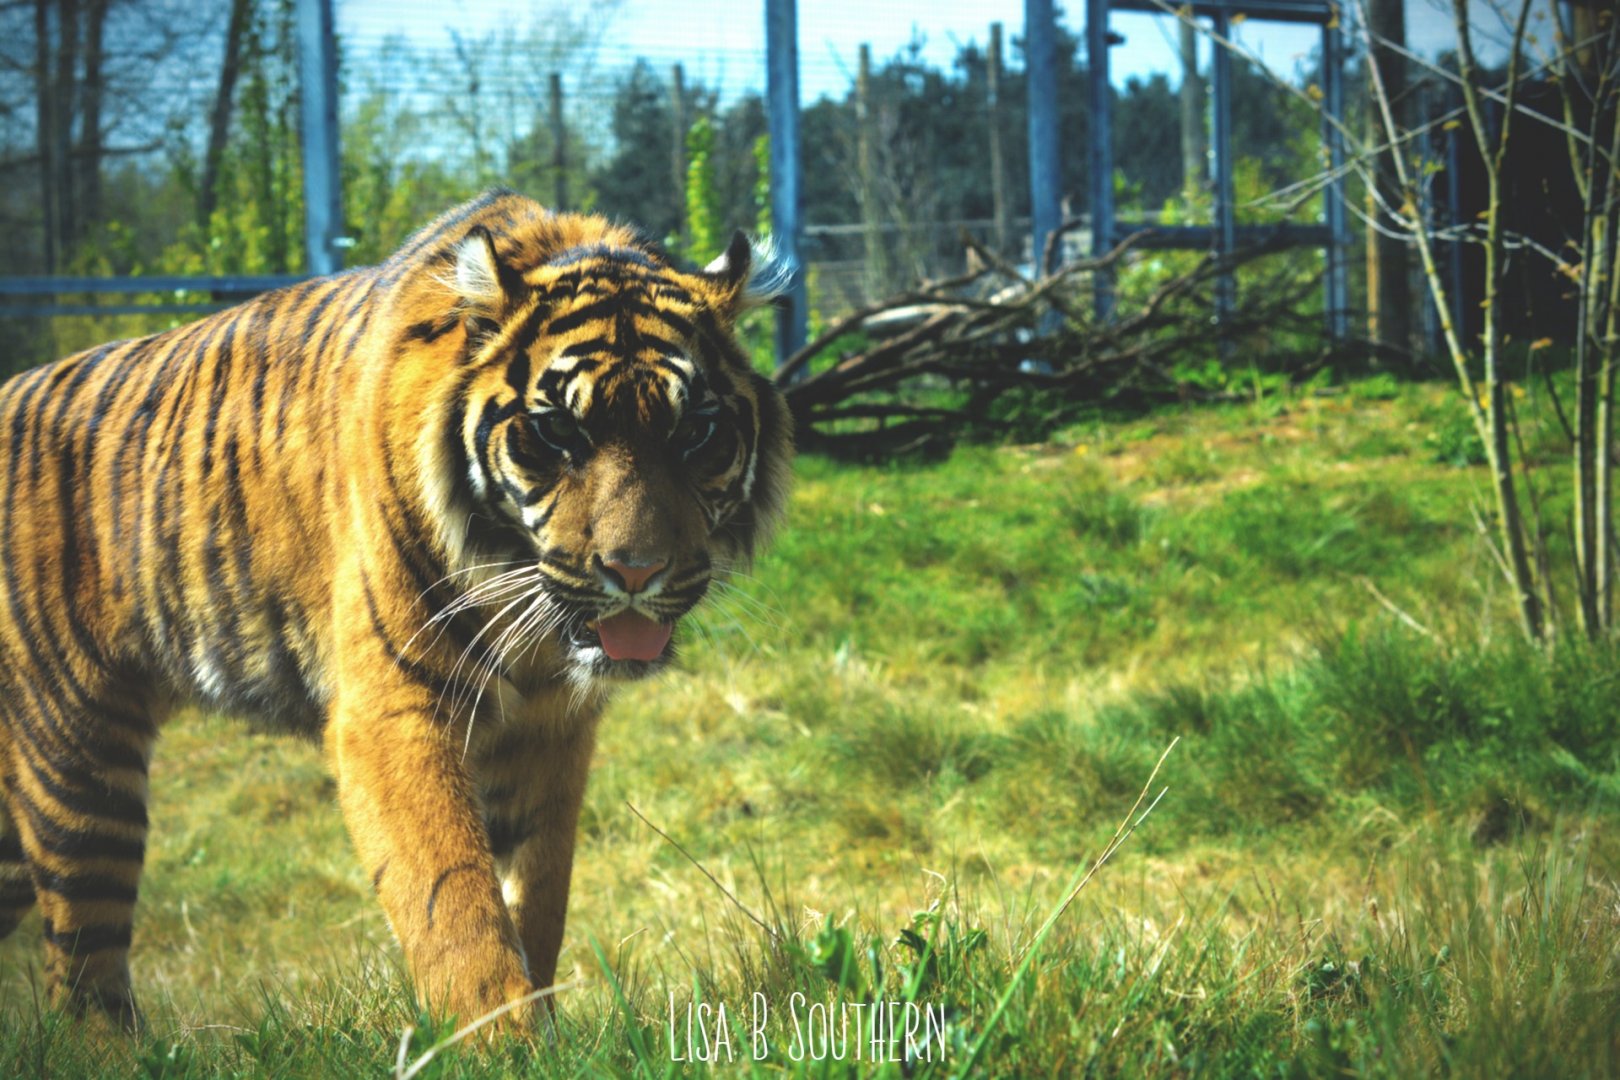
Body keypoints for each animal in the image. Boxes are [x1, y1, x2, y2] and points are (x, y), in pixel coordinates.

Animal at [0, 189, 793, 1030]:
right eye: (556, 431)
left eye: (695, 431)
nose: (635, 571)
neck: (525, 611)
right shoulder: (393, 708)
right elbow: (453, 897)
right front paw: (501, 1039)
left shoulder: (549, 728)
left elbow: (537, 893)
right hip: (78, 757)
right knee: (81, 980)